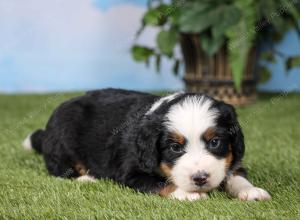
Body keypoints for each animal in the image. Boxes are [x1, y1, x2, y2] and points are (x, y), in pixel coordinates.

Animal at [23, 88, 270, 201]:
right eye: (175, 148)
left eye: (215, 142)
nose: (200, 178)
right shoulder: (131, 172)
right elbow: (162, 183)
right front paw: (189, 194)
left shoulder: (230, 161)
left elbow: (235, 174)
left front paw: (251, 191)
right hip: (63, 141)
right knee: (60, 170)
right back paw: (87, 178)